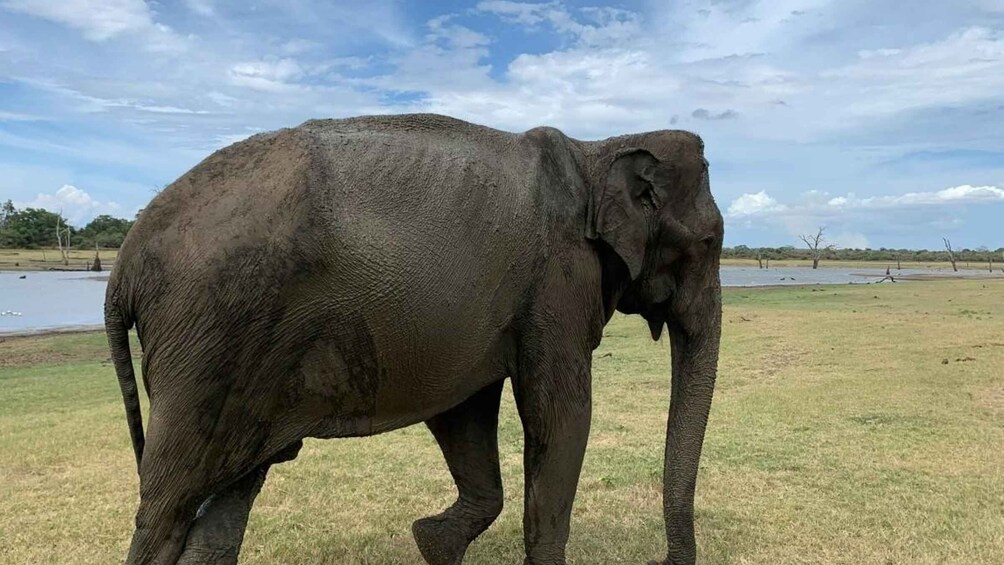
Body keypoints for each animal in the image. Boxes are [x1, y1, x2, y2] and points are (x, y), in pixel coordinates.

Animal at [107, 112, 722, 561]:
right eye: (711, 242)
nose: (664, 559)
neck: (598, 149)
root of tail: (123, 265)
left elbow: (465, 413)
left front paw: (431, 542)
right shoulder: (557, 283)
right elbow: (560, 415)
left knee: (226, 500)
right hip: (209, 337)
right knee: (168, 506)